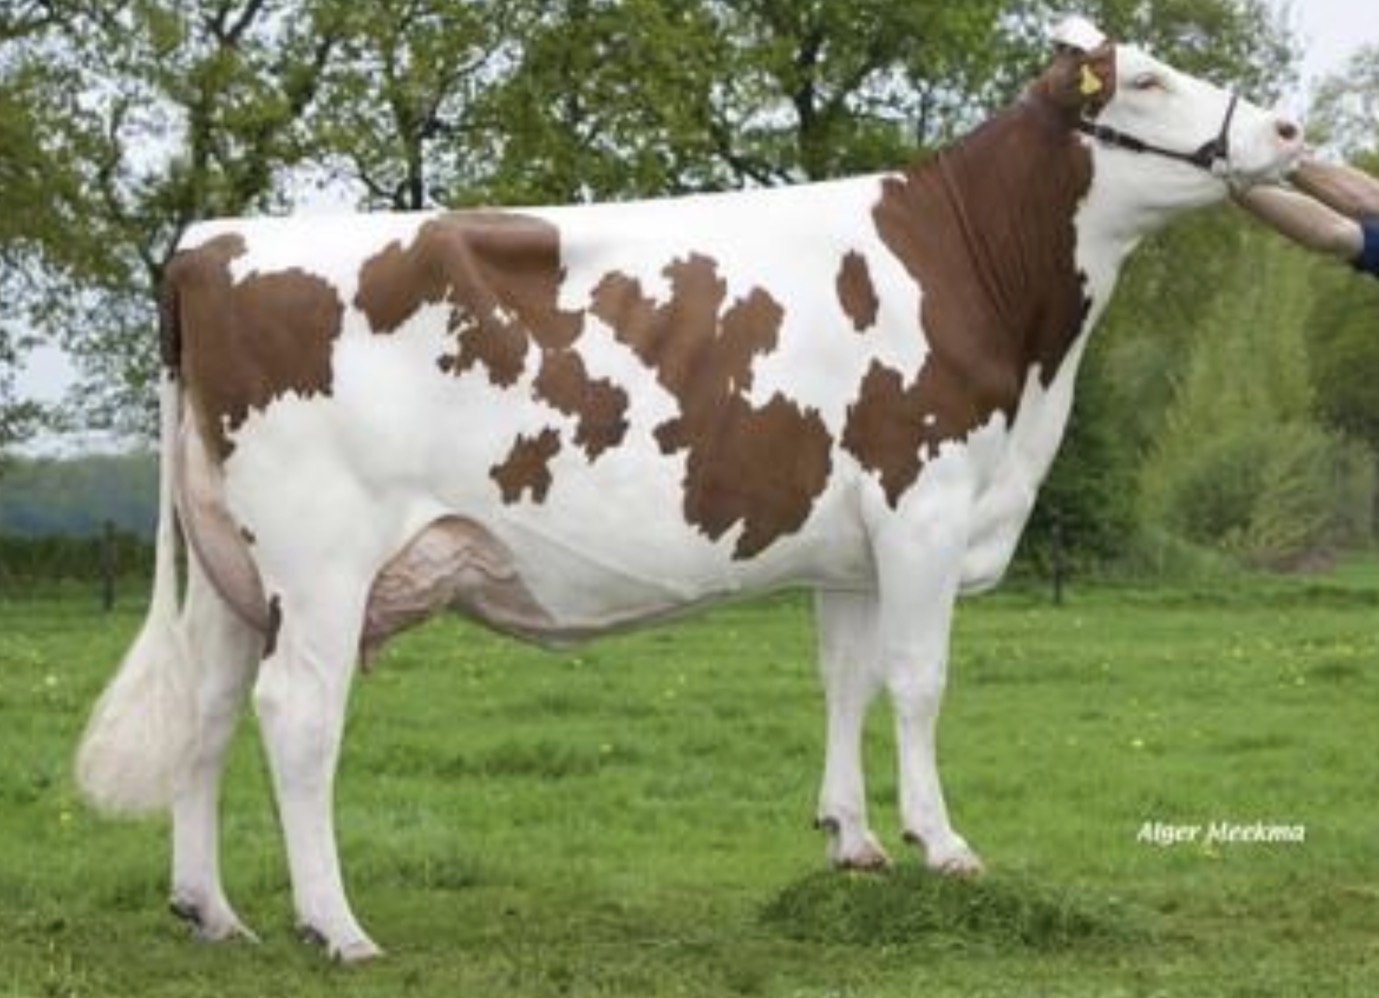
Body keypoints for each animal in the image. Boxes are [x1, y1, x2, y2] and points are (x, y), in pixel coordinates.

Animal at [76, 17, 1302, 961]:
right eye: (1145, 79)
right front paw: (943, 847)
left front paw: (851, 842)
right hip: (321, 559)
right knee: (296, 715)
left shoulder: (851, 544)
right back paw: (336, 927)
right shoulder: (923, 503)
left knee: (208, 708)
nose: (1286, 131)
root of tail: (207, 246)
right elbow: (916, 682)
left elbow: (844, 679)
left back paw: (213, 911)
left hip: (232, 572)